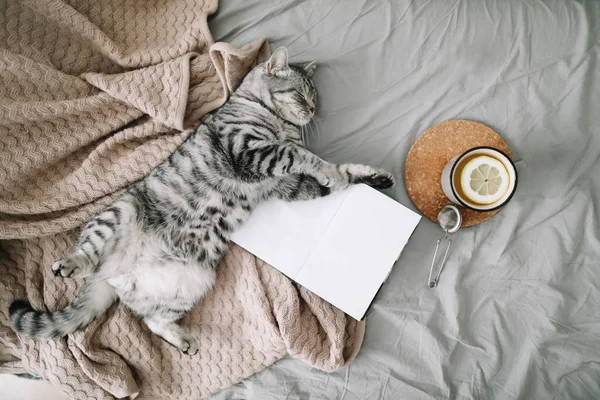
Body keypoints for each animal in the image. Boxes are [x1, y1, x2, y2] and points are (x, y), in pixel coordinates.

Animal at [9, 46, 396, 354]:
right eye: (302, 96)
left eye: (316, 98)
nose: (313, 110)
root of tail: (113, 275)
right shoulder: (250, 152)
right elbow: (303, 155)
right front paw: (328, 168)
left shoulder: (285, 184)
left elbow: (341, 171)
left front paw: (373, 176)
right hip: (120, 213)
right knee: (89, 257)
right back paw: (72, 265)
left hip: (190, 281)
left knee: (151, 319)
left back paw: (181, 340)